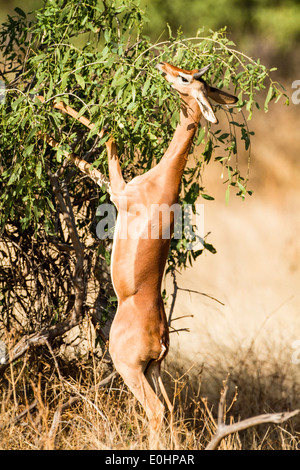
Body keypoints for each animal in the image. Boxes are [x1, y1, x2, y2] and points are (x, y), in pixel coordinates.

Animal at [106, 62, 238, 448]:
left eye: (185, 78)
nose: (163, 66)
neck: (162, 179)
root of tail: (162, 339)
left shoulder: (118, 193)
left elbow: (107, 144)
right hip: (154, 370)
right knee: (168, 411)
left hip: (128, 368)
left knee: (155, 411)